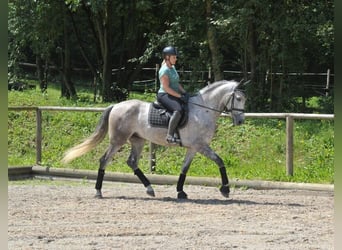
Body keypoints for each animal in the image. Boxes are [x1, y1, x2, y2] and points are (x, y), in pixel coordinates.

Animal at [61, 80, 246, 199]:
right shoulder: (200, 146)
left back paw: (149, 189)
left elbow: (184, 169)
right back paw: (98, 191)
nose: (240, 121)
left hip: (138, 141)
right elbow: (220, 161)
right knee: (104, 160)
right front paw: (225, 189)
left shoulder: (193, 148)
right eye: (238, 99)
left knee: (132, 162)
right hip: (118, 141)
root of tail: (116, 106)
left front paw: (180, 192)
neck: (203, 110)